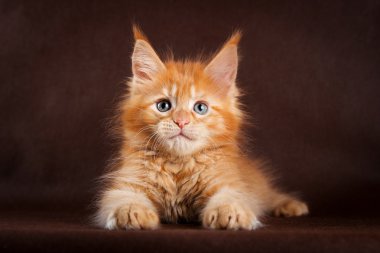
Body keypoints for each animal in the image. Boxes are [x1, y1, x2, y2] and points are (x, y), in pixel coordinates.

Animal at [95, 26, 308, 230]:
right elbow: (124, 198)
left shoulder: (229, 182)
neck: (178, 165)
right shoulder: (127, 183)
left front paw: (228, 212)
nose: (181, 121)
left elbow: (231, 197)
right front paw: (131, 212)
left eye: (200, 108)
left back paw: (291, 206)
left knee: (270, 195)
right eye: (163, 105)